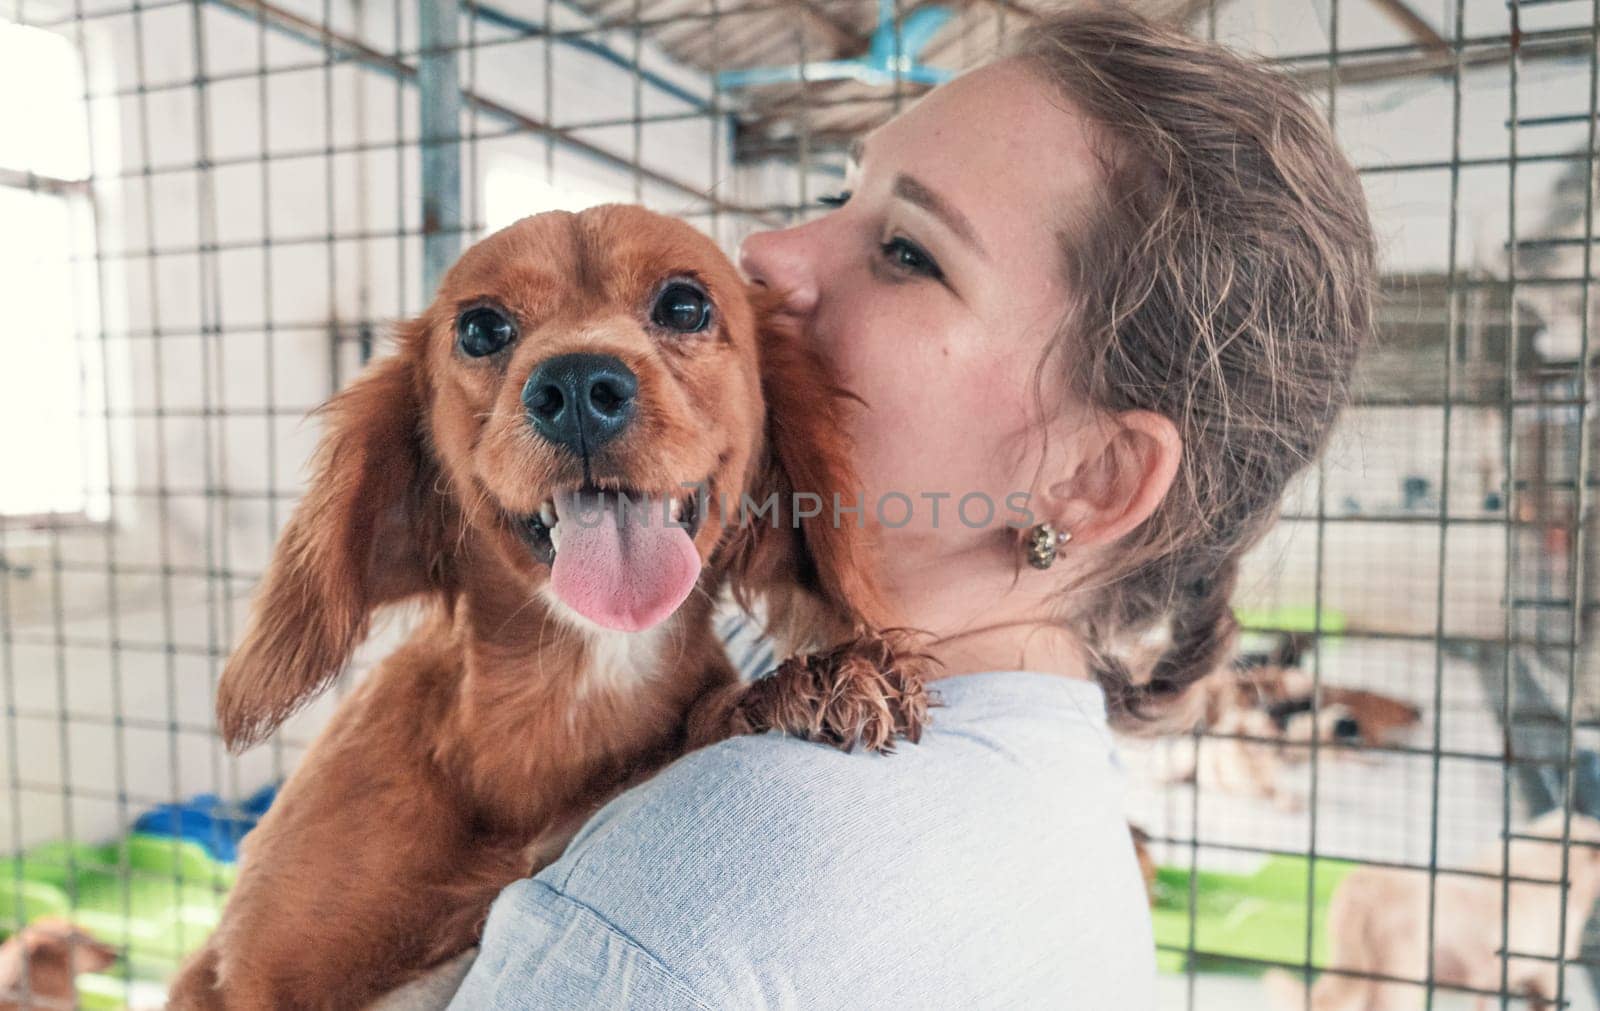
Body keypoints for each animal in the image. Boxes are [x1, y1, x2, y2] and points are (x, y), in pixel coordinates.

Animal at [165, 207, 928, 1011]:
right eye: (481, 328)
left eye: (684, 305)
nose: (577, 383)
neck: (567, 684)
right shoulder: (231, 976)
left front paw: (811, 683)